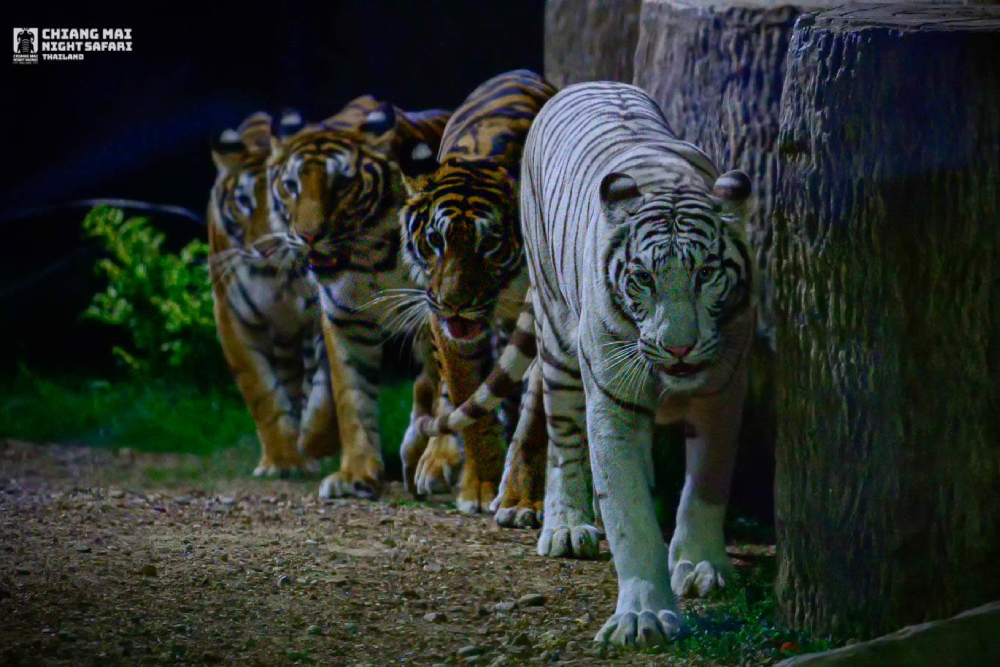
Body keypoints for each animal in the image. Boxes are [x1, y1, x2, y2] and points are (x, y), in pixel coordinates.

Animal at [208, 111, 337, 477]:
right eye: (243, 202)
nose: (266, 248)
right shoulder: (233, 317)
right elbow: (263, 393)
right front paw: (282, 460)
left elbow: (325, 392)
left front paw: (317, 443)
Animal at [268, 96, 450, 499]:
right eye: (291, 185)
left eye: (342, 184)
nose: (308, 236)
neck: (369, 258)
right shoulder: (345, 320)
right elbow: (352, 398)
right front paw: (355, 474)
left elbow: (441, 387)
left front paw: (433, 462)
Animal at [395, 69, 556, 515]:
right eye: (435, 240)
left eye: (490, 244)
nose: (455, 304)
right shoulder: (444, 324)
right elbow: (469, 397)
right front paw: (481, 485)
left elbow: (534, 414)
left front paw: (521, 498)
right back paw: (434, 462)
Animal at [414, 82, 754, 647]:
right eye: (642, 278)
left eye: (706, 273)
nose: (679, 348)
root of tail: (582, 84)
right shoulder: (612, 398)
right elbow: (628, 511)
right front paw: (642, 614)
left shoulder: (723, 391)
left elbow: (705, 487)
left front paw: (702, 566)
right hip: (556, 337)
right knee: (561, 433)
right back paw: (565, 524)